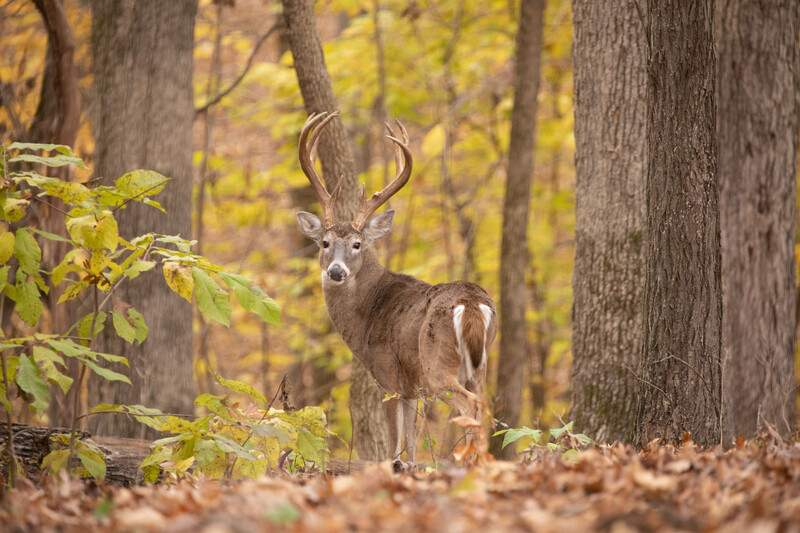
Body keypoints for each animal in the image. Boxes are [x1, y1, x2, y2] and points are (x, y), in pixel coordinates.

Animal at [295, 111, 497, 467]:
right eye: (325, 242)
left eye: (357, 244)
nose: (336, 271)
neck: (367, 313)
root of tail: (472, 301)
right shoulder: (412, 388)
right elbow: (414, 444)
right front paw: (414, 468)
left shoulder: (387, 375)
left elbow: (393, 444)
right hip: (480, 364)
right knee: (485, 406)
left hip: (437, 364)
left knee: (471, 406)